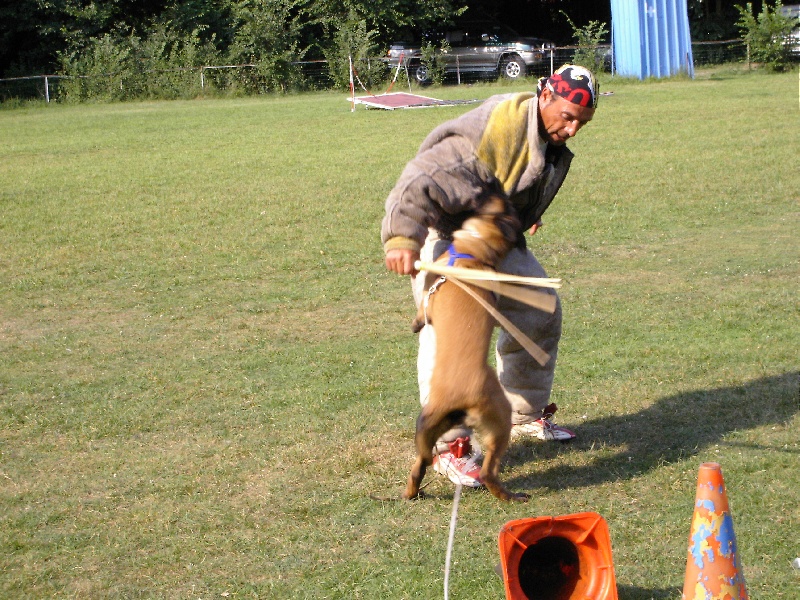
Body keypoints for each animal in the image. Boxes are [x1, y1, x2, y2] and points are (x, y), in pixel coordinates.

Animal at [404, 197, 528, 502]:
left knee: (483, 471)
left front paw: (415, 323)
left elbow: (422, 309)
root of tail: (460, 401)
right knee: (423, 466)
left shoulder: (428, 297)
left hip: (492, 422)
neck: (474, 257)